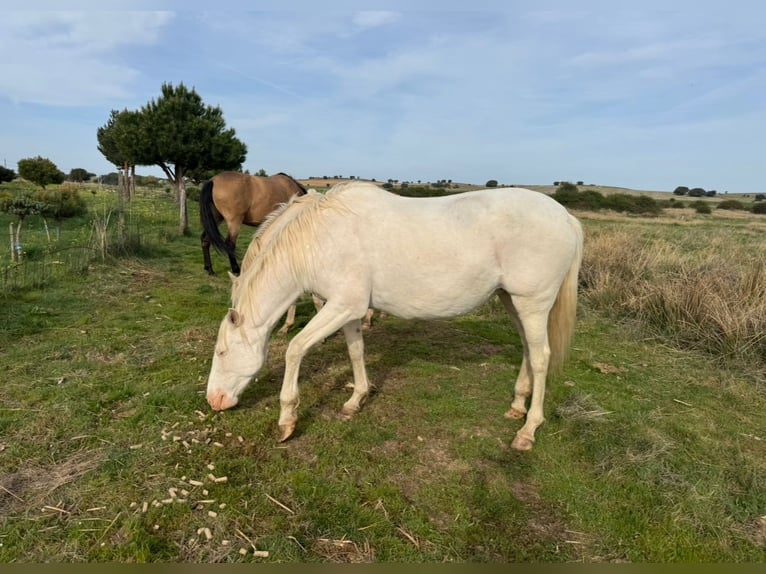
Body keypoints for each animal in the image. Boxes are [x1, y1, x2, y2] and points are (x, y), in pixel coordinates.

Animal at [205, 181, 583, 451]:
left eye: (221, 352)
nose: (214, 401)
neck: (319, 239)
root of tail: (565, 217)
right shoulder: (348, 309)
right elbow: (356, 351)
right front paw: (356, 399)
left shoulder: (341, 306)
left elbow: (295, 349)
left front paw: (287, 419)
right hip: (512, 301)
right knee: (528, 349)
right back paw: (518, 405)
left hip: (532, 303)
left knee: (541, 357)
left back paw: (528, 429)